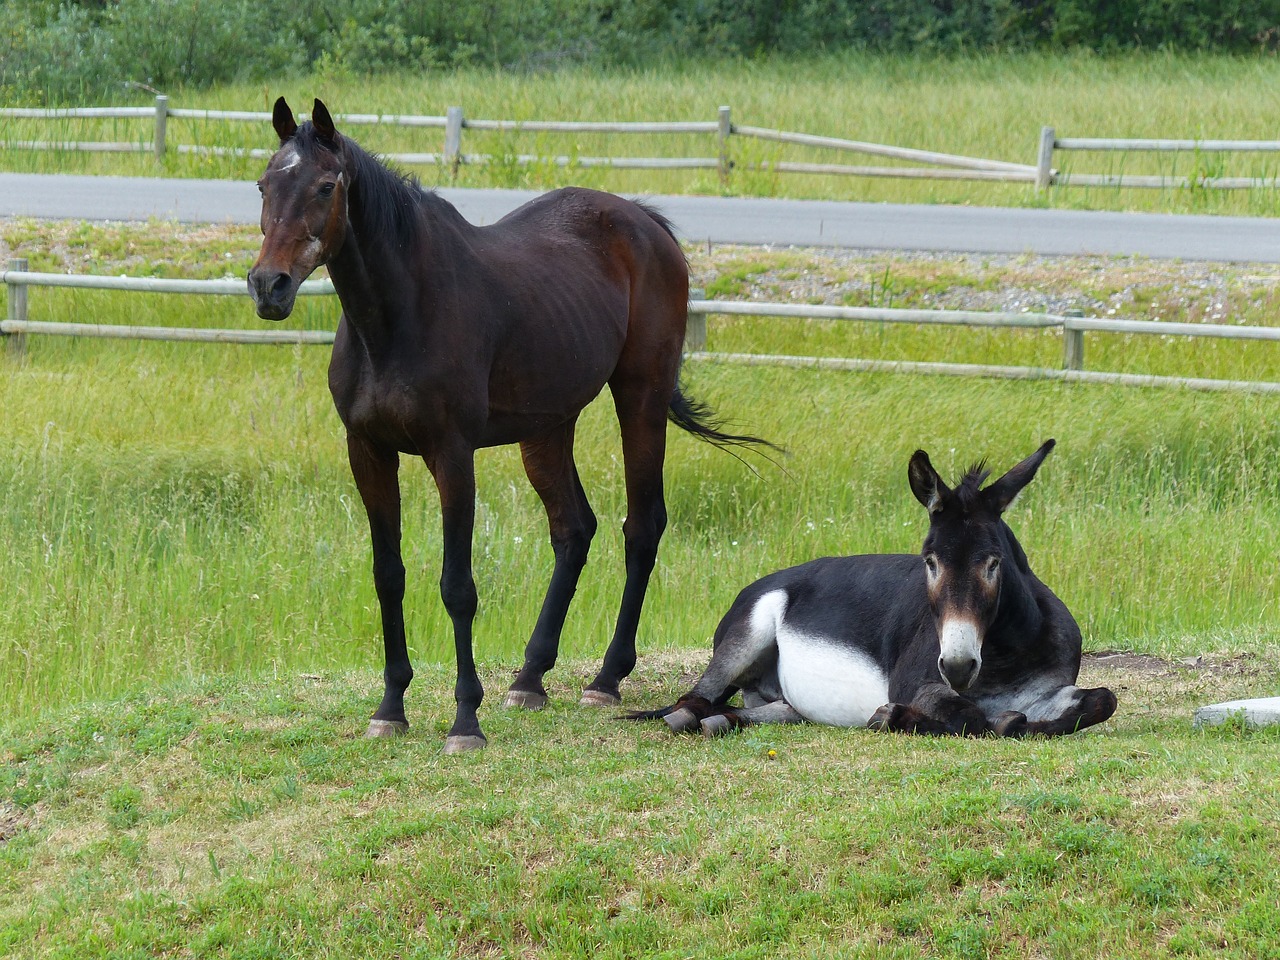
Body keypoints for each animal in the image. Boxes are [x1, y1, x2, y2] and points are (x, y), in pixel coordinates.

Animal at [250, 101, 768, 757]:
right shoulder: (367, 453)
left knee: (642, 527)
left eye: (324, 186)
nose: (269, 286)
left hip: (640, 400)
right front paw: (391, 707)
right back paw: (530, 677)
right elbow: (388, 577)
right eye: (263, 185)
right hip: (547, 429)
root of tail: (645, 223)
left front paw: (464, 721)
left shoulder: (451, 455)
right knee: (574, 529)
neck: (396, 316)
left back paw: (606, 678)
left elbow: (457, 586)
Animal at [629, 440, 1111, 742]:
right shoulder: (915, 683)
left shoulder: (1049, 692)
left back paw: (722, 723)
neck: (1006, 655)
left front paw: (1017, 722)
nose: (957, 667)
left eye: (994, 563)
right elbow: (970, 716)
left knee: (761, 711)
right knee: (691, 701)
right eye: (930, 561)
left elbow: (1102, 701)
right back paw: (690, 719)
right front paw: (893, 717)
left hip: (783, 700)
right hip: (747, 634)